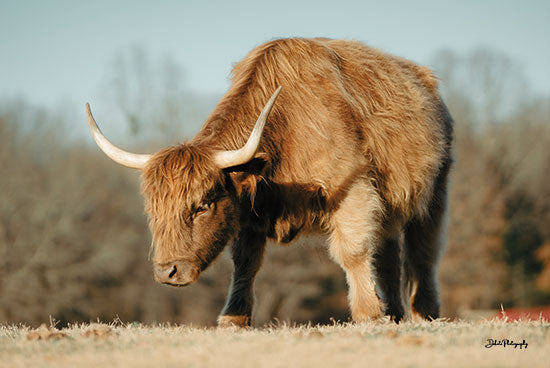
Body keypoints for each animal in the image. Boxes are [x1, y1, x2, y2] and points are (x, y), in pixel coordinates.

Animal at [86, 36, 454, 324]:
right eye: (152, 211)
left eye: (202, 206)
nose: (167, 272)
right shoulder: (250, 208)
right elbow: (245, 263)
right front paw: (233, 318)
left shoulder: (354, 188)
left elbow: (353, 251)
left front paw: (368, 314)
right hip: (391, 204)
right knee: (389, 255)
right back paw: (395, 313)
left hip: (436, 193)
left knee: (423, 253)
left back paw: (424, 313)